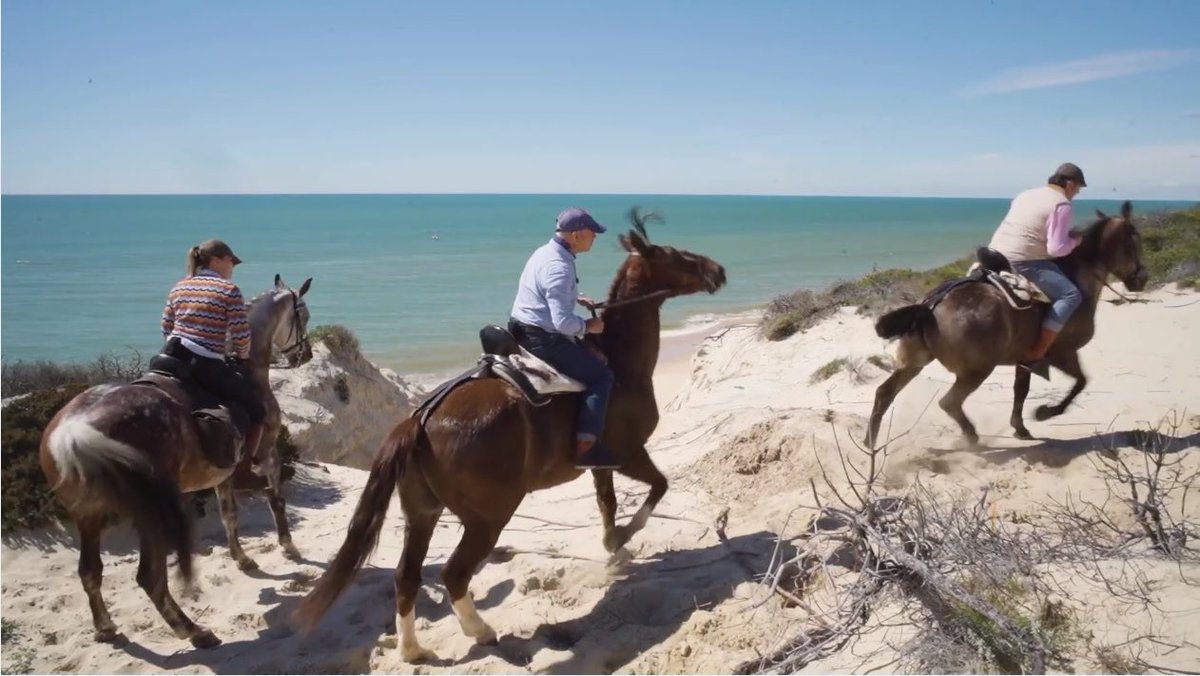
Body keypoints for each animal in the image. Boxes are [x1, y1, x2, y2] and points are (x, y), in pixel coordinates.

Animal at [39, 274, 313, 648]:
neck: (243, 367)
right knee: (149, 577)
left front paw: (242, 559)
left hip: (88, 515)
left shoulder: (222, 474)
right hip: (149, 512)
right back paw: (194, 631)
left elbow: (229, 515)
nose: (306, 354)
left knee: (90, 572)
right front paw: (288, 546)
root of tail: (74, 430)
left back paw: (106, 627)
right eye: (304, 315)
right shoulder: (267, 452)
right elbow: (276, 498)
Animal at [294, 211, 726, 662]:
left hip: (422, 514)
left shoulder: (601, 463)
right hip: (488, 518)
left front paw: (614, 547)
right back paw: (481, 631)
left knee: (407, 577)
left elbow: (607, 504)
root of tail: (418, 421)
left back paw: (413, 649)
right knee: (454, 573)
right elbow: (658, 487)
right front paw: (622, 539)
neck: (618, 360)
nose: (719, 270)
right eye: (675, 254)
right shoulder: (629, 454)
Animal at [866, 201, 1148, 448]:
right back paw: (972, 437)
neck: (1078, 277)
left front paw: (1020, 427)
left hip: (914, 363)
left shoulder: (1025, 360)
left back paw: (870, 443)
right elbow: (1080, 382)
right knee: (949, 403)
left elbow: (1020, 391)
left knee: (884, 394)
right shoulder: (1063, 353)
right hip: (975, 371)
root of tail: (931, 306)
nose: (1142, 278)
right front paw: (1046, 412)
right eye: (1133, 242)